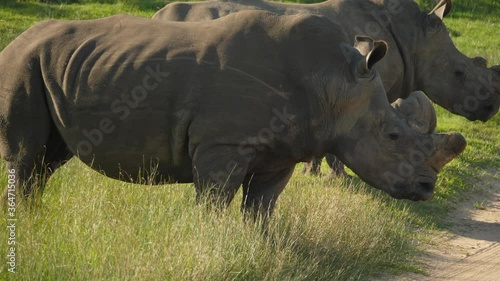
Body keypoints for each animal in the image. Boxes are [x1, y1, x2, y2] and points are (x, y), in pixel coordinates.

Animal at [0, 11, 468, 214]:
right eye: (393, 137)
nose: (427, 187)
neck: (333, 82)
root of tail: (14, 42)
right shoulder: (222, 145)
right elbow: (213, 206)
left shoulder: (283, 151)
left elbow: (261, 211)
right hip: (21, 65)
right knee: (26, 158)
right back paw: (26, 222)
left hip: (58, 66)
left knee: (47, 160)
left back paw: (36, 220)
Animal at [154, 0, 500, 175]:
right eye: (460, 73)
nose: (491, 108)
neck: (414, 37)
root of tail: (158, 13)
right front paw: (336, 176)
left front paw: (313, 172)